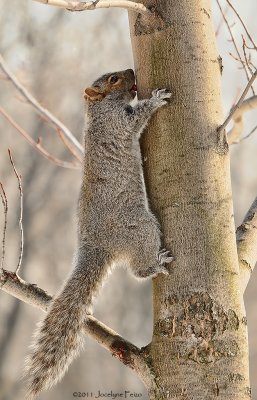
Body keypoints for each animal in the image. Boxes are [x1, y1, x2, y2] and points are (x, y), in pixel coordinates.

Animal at [24, 69, 172, 396]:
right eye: (114, 79)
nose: (131, 72)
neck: (98, 111)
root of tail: (95, 245)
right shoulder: (119, 124)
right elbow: (137, 117)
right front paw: (156, 99)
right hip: (140, 227)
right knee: (137, 270)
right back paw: (156, 264)